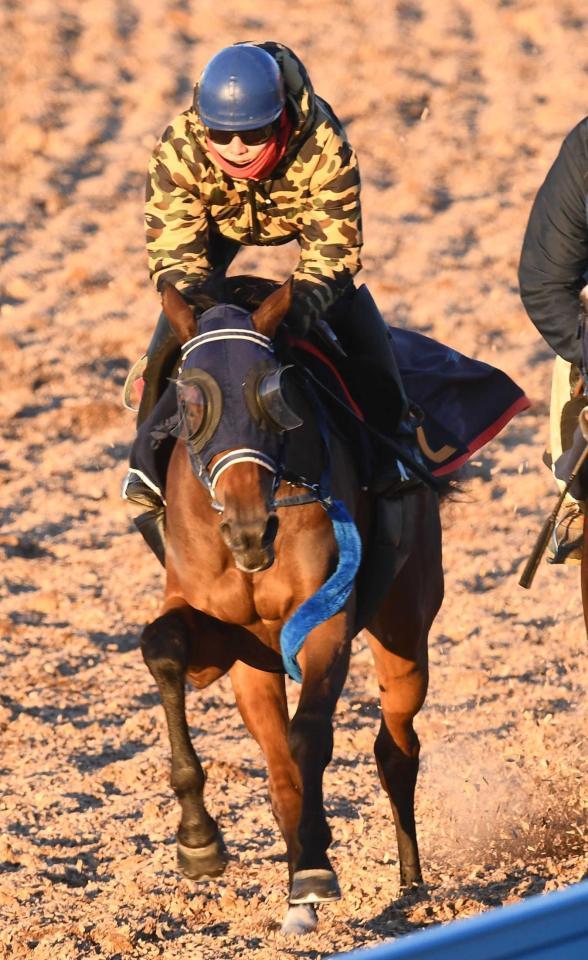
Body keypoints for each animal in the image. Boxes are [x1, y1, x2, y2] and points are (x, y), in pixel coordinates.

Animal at [139, 278, 444, 934]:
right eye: (190, 401)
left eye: (273, 396)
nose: (250, 530)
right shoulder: (221, 634)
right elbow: (163, 649)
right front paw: (198, 841)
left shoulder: (325, 619)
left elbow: (312, 737)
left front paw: (314, 872)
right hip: (254, 671)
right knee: (281, 774)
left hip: (406, 624)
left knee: (395, 747)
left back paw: (410, 885)